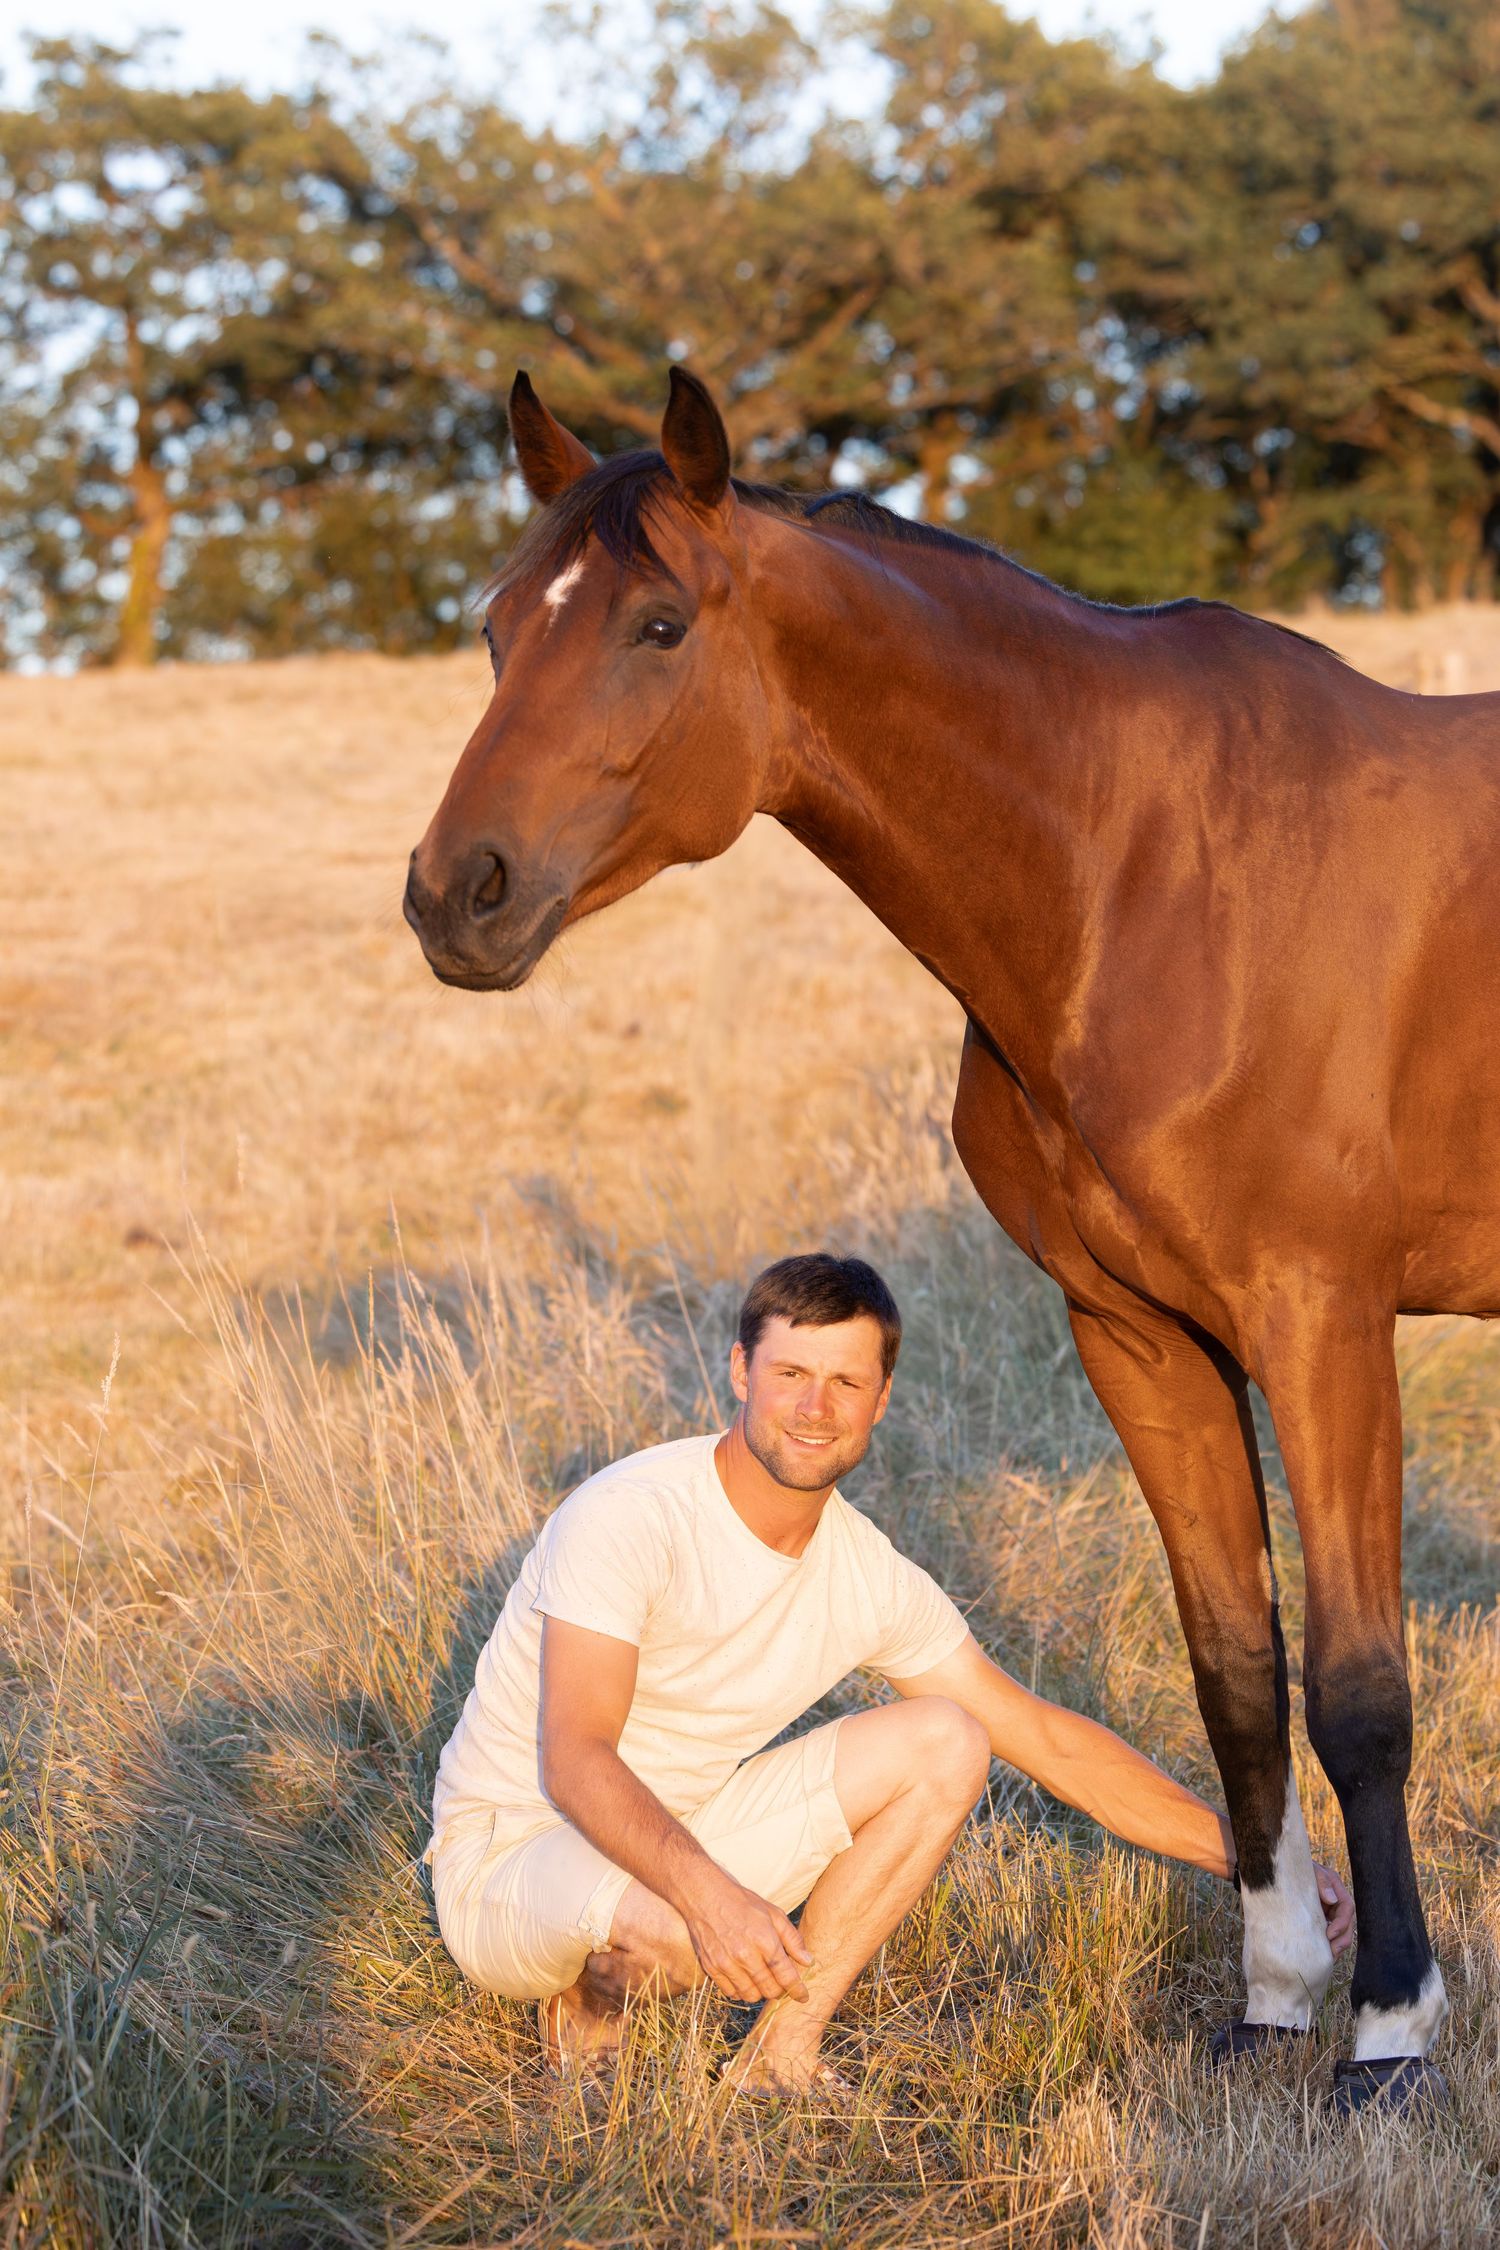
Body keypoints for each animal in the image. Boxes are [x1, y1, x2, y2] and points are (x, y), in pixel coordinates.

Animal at [405, 365, 1500, 2112]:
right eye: (502, 626)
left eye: (657, 623)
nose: (458, 893)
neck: (1141, 871)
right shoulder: (1139, 1335)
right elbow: (1236, 1674)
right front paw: (1274, 1998)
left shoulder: (1323, 1318)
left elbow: (1359, 1690)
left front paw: (1391, 2028)